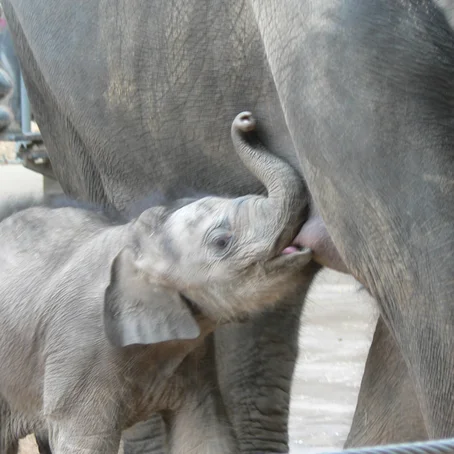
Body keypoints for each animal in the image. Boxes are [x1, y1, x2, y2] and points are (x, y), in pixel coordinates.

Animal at [0, 111, 310, 452]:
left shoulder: (193, 353)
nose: (246, 120)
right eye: (221, 241)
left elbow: (204, 432)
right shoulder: (77, 350)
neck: (139, 241)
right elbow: (84, 442)